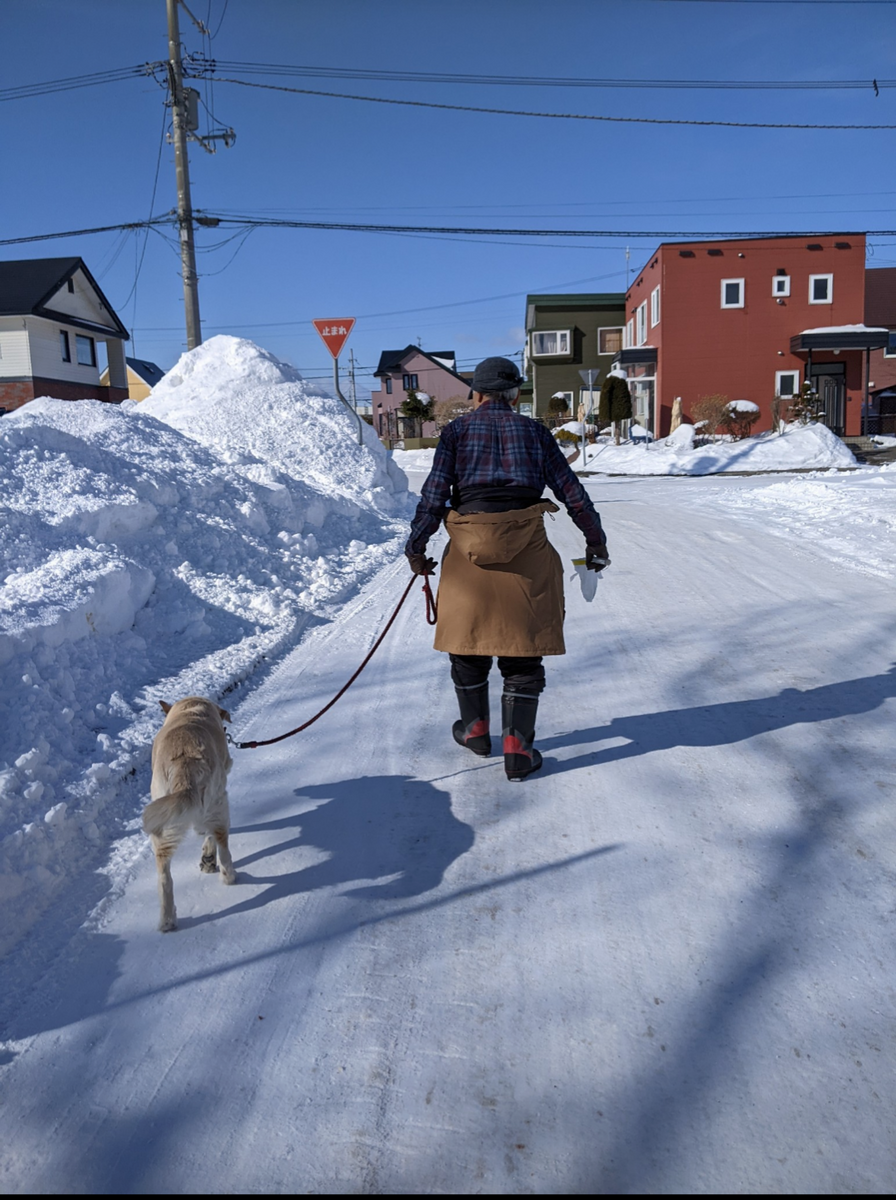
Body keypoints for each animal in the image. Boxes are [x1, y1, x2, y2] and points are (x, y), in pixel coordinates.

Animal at [142, 700, 236, 931]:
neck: (190, 708)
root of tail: (183, 764)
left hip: (161, 820)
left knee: (164, 877)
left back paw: (167, 920)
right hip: (218, 802)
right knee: (221, 843)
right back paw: (227, 874)